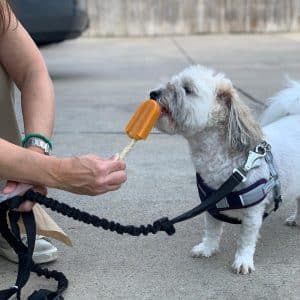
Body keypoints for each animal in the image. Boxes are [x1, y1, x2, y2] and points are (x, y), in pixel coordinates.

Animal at [151, 65, 300, 274]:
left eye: (188, 89)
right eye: (170, 83)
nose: (153, 94)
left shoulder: (253, 213)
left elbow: (245, 240)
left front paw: (243, 260)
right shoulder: (210, 203)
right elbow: (212, 230)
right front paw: (208, 248)